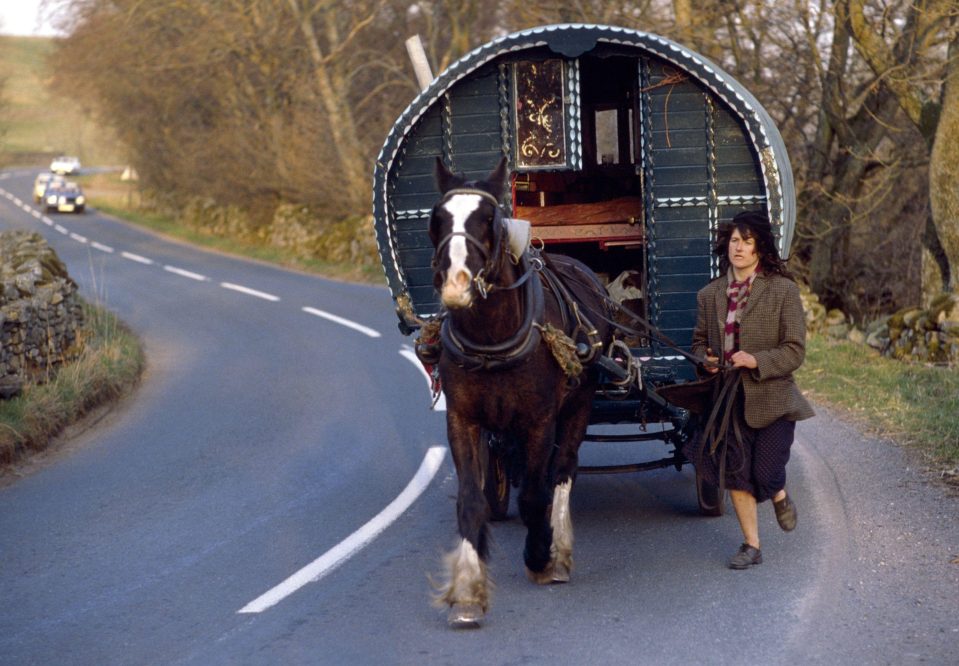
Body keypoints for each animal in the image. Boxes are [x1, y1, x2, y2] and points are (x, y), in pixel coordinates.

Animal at [430, 158, 616, 624]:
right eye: (437, 219)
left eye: (489, 219)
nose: (456, 284)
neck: (492, 339)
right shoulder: (462, 419)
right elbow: (470, 500)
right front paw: (467, 591)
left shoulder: (539, 419)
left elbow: (535, 495)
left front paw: (540, 557)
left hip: (579, 402)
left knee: (564, 469)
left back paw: (560, 549)